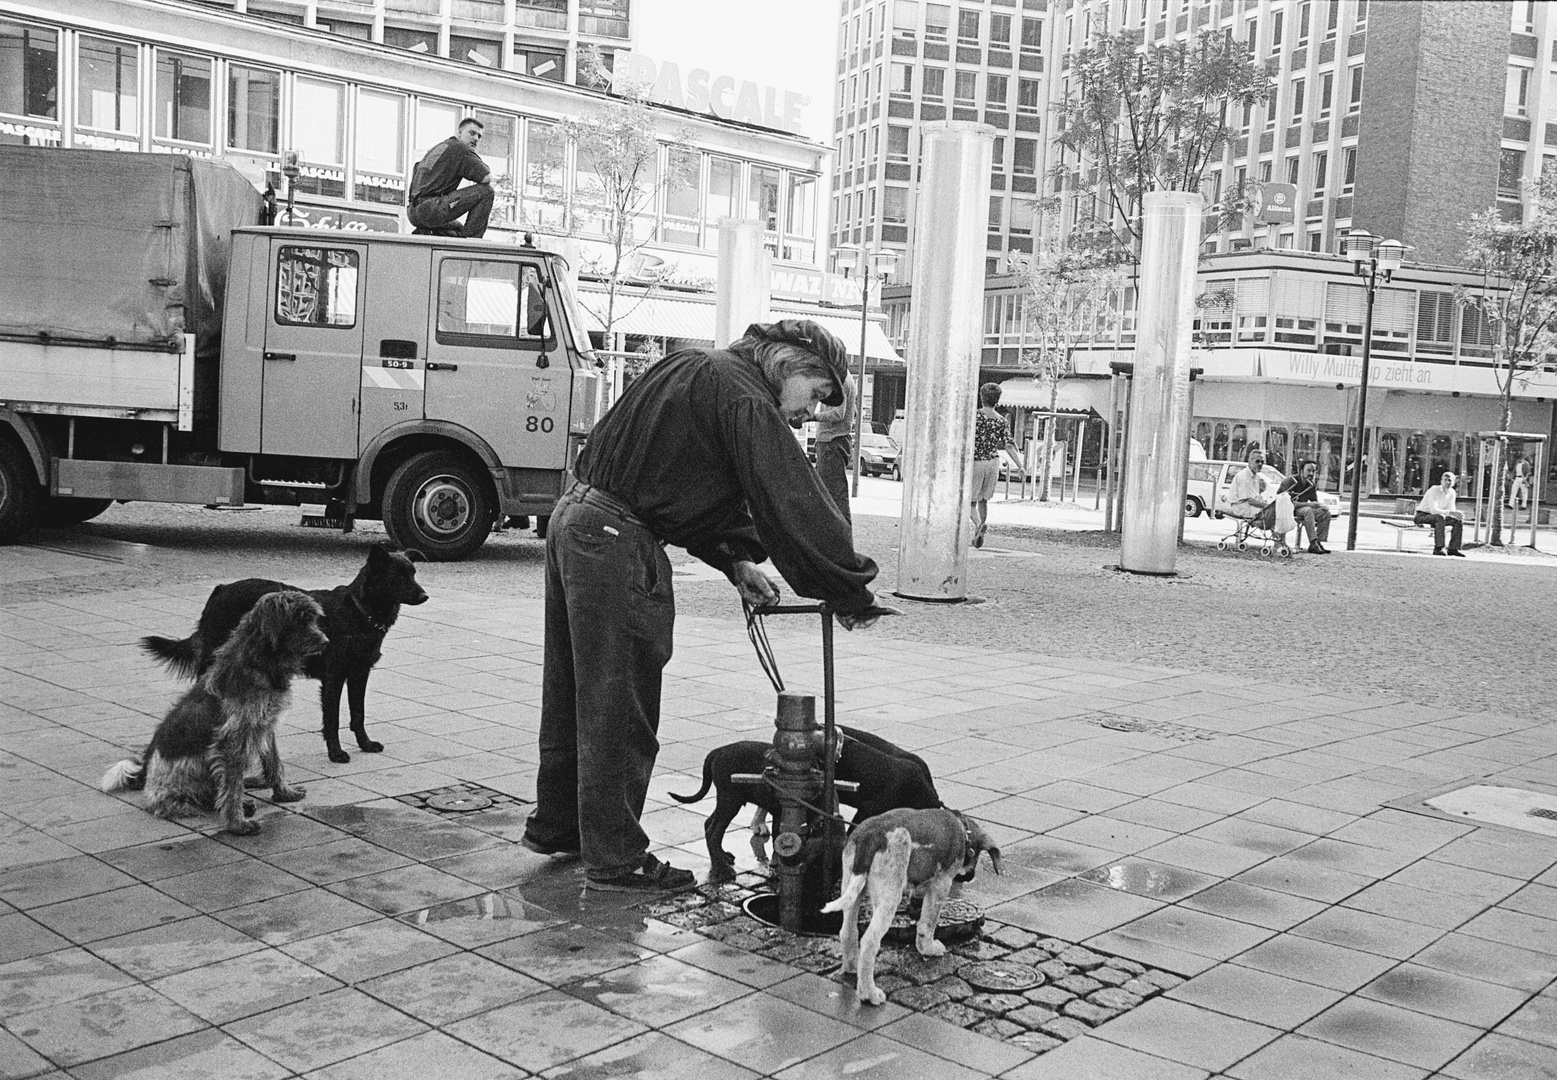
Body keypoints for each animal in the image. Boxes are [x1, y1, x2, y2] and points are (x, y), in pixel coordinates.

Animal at [101, 591, 326, 840]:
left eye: (312, 619)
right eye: (300, 620)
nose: (325, 641)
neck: (260, 662)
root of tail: (144, 774)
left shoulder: (265, 726)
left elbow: (274, 764)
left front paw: (284, 792)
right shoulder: (232, 740)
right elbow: (232, 788)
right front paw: (237, 824)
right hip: (187, 774)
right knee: (185, 800)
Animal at [139, 544, 426, 765]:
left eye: (413, 573)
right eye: (397, 576)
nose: (425, 595)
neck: (358, 612)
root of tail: (220, 588)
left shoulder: (359, 674)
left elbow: (358, 714)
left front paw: (365, 744)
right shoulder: (333, 679)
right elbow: (332, 720)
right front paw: (335, 753)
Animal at [666, 728, 934, 890]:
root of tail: (715, 752)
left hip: (728, 799)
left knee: (709, 824)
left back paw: (723, 856)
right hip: (730, 798)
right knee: (714, 830)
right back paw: (721, 868)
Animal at [822, 809, 1002, 1008]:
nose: (969, 876)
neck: (963, 829)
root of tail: (871, 835)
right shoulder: (940, 885)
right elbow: (928, 923)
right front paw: (928, 949)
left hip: (851, 884)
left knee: (848, 932)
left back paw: (852, 968)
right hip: (890, 895)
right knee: (869, 941)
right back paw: (869, 994)